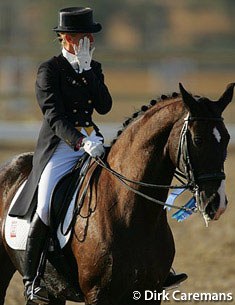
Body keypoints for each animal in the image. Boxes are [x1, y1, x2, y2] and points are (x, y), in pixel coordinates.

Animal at [0, 83, 233, 304]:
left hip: (53, 292)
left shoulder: (150, 293)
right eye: (198, 140)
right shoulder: (98, 294)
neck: (131, 213)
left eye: (227, 138)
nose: (217, 204)